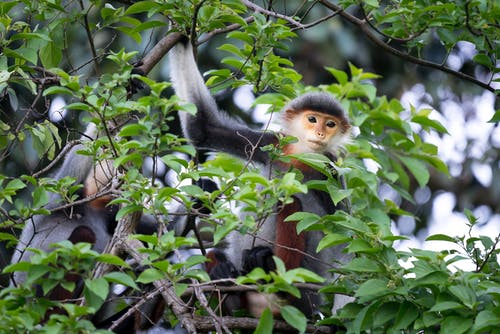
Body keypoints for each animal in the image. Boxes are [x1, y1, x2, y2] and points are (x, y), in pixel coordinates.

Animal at [170, 36, 354, 318]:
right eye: (312, 119)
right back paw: (223, 274)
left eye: (330, 124)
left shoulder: (330, 169)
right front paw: (178, 35)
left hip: (303, 294)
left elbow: (347, 241)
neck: (301, 157)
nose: (321, 133)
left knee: (289, 202)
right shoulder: (272, 144)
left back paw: (270, 268)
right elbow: (203, 128)